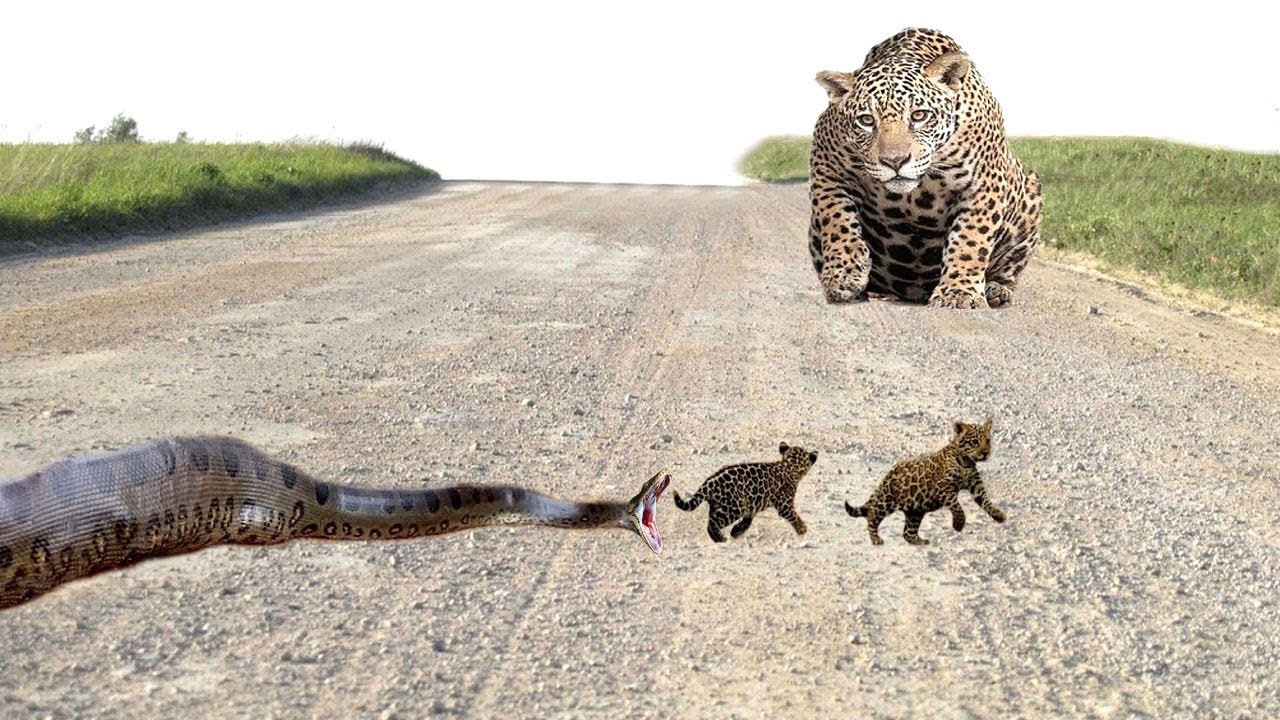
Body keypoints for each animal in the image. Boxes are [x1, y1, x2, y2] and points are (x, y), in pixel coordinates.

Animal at [674, 443, 817, 542]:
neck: (789, 466)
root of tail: (710, 482)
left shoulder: (751, 504)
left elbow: (748, 520)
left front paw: (736, 532)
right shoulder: (785, 505)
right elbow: (794, 516)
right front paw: (802, 529)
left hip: (721, 505)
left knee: (711, 518)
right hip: (735, 507)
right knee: (713, 521)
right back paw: (720, 539)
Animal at [808, 27, 1043, 309]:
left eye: (919, 116)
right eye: (866, 121)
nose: (895, 161)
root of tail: (914, 292)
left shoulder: (985, 184)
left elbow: (971, 239)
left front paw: (958, 292)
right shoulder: (825, 163)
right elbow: (836, 219)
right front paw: (843, 274)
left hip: (1030, 196)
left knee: (1008, 270)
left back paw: (997, 291)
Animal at [844, 418, 1006, 545]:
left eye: (988, 441)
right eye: (974, 442)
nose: (986, 453)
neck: (966, 463)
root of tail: (886, 476)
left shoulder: (975, 485)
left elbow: (986, 501)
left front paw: (998, 515)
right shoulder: (943, 487)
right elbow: (957, 506)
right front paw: (958, 524)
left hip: (915, 511)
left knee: (907, 532)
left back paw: (919, 541)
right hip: (885, 501)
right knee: (872, 516)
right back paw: (876, 539)